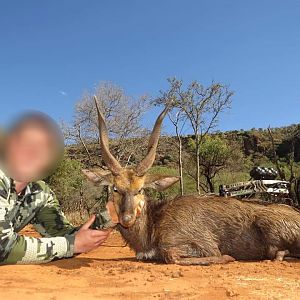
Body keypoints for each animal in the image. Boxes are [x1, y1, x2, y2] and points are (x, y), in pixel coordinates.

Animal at [82, 98, 300, 264]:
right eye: (115, 189)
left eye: (140, 189)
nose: (127, 219)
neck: (153, 227)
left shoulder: (204, 245)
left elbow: (174, 255)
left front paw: (229, 257)